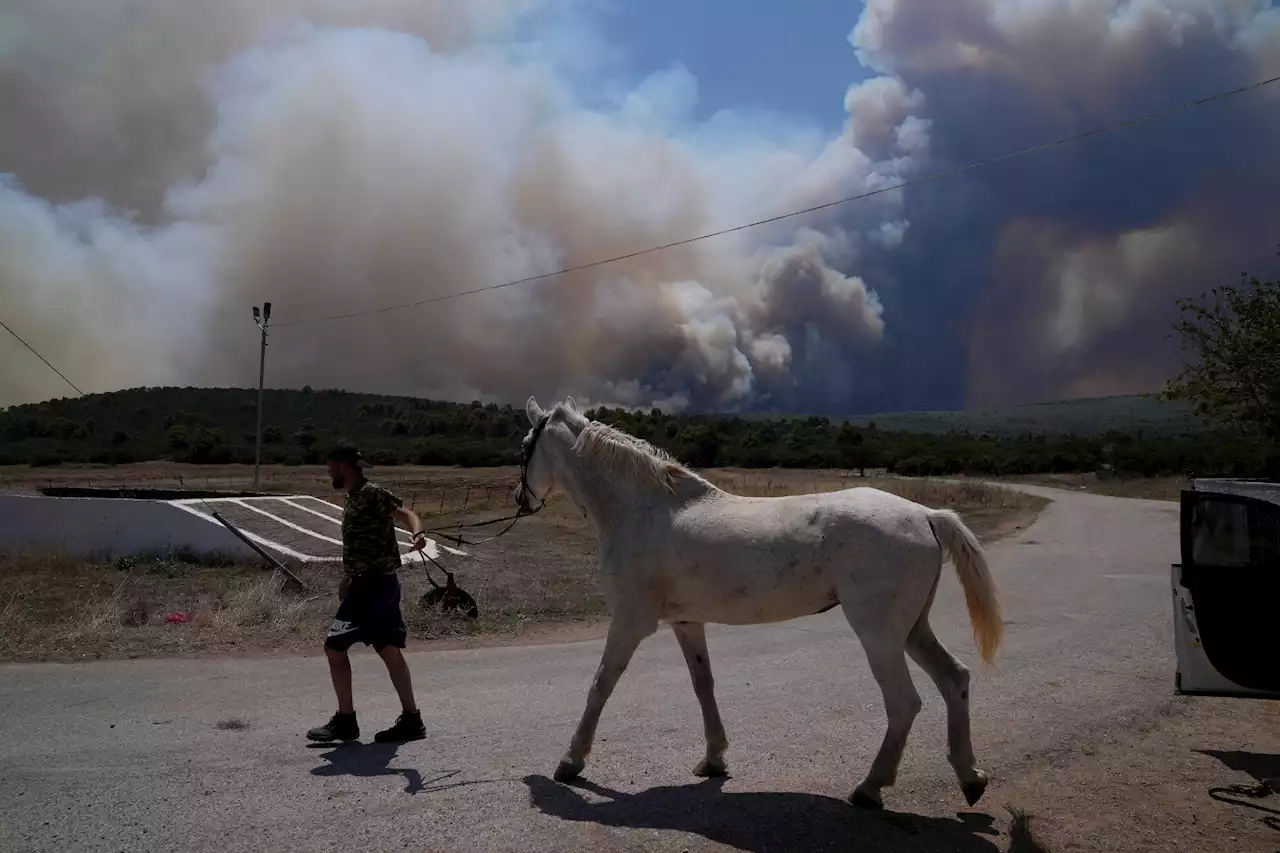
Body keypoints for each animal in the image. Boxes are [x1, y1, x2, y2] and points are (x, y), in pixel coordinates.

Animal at [514, 394, 1003, 809]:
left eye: (524, 446)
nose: (521, 500)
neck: (645, 511)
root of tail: (925, 514)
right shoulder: (686, 623)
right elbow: (703, 684)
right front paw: (713, 759)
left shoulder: (631, 622)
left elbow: (601, 685)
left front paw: (571, 762)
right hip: (912, 629)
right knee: (954, 679)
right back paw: (970, 778)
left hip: (879, 634)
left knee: (904, 703)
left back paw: (869, 788)